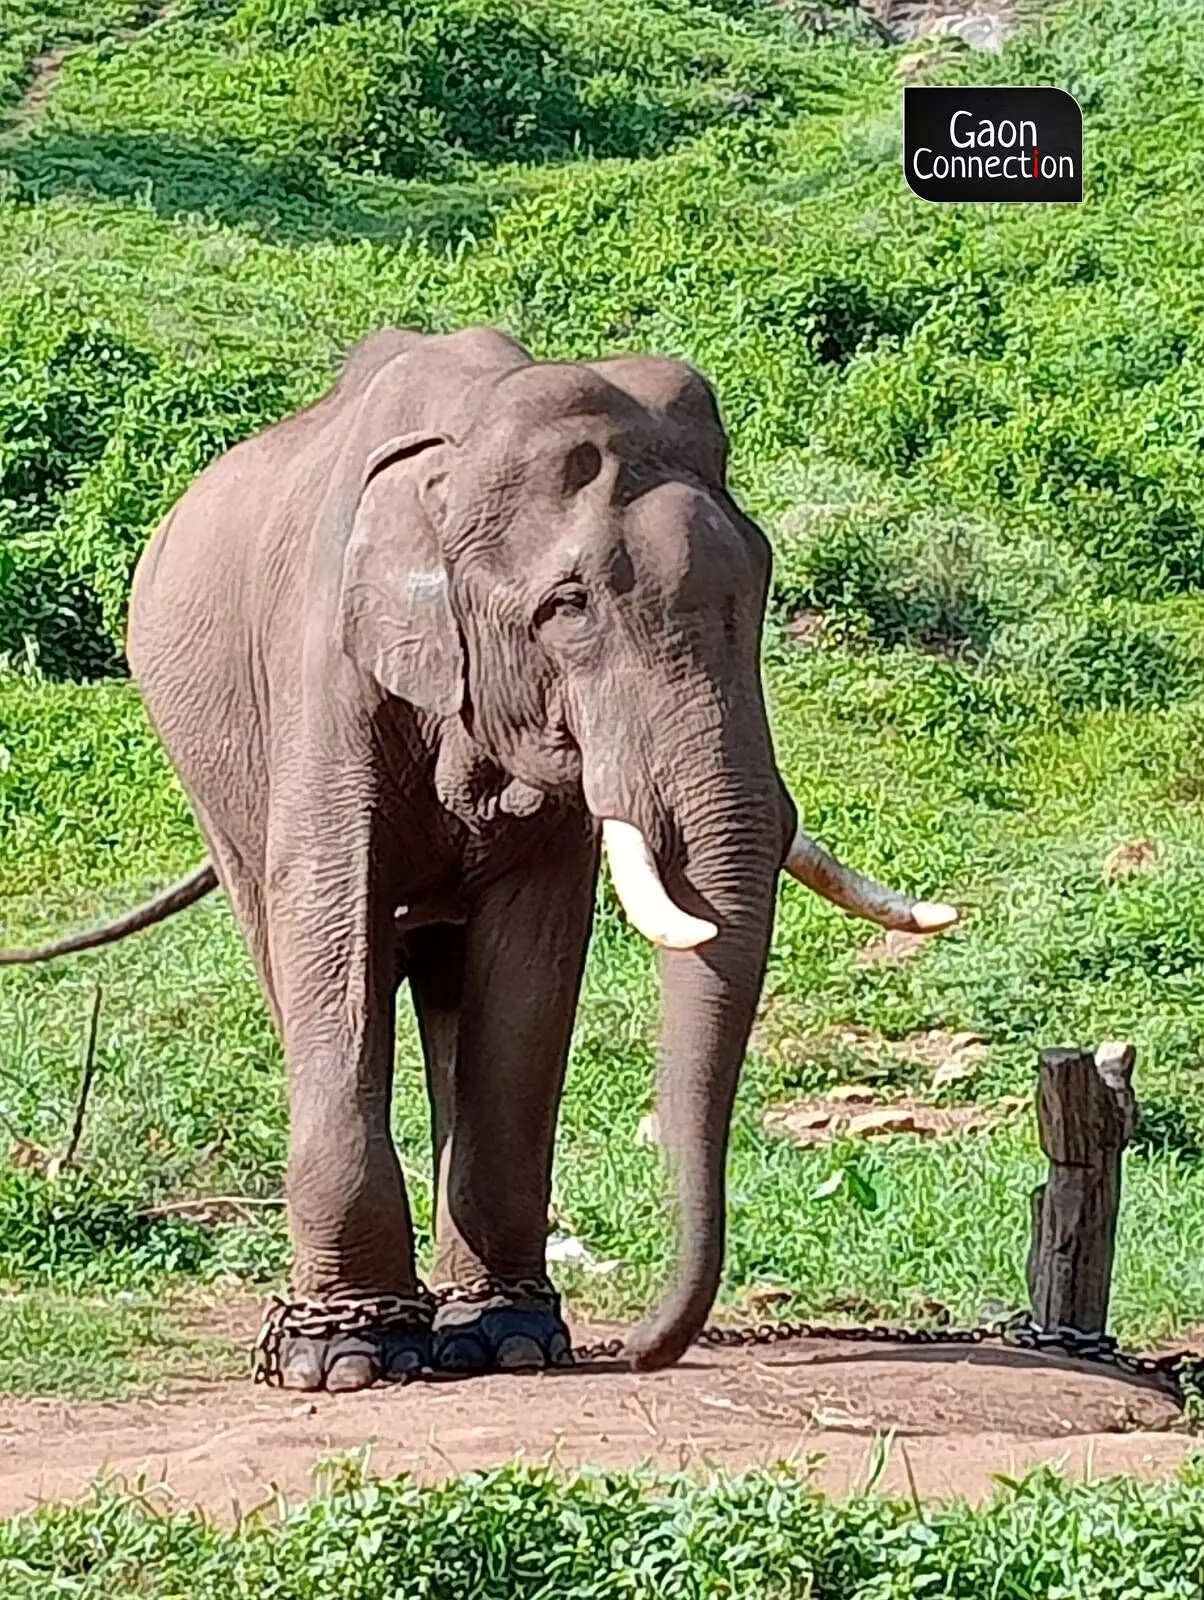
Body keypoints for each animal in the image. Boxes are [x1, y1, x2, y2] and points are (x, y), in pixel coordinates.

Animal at [2, 324, 960, 1388]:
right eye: (570, 605)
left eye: (757, 585)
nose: (639, 1349)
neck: (458, 453)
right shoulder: (324, 670)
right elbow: (332, 921)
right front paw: (346, 1358)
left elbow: (532, 957)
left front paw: (513, 1341)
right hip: (208, 767)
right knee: (289, 941)